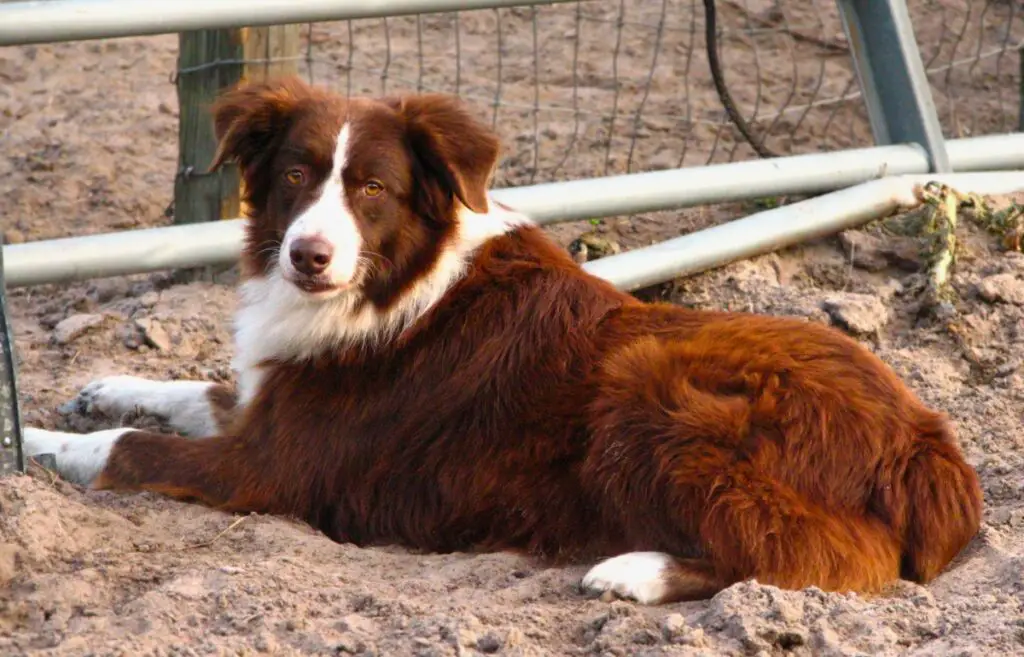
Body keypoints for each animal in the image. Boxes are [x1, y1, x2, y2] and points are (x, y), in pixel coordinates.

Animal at [25, 76, 983, 605]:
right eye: (296, 175)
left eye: (373, 189)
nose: (308, 255)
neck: (394, 281)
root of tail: (927, 442)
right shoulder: (267, 405)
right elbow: (190, 390)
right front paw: (96, 385)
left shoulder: (270, 469)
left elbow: (124, 448)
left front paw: (31, 440)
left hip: (650, 388)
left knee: (820, 557)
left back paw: (633, 571)